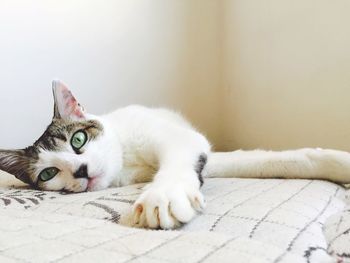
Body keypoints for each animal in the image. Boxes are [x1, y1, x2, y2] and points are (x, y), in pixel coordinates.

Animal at [2, 81, 350, 230]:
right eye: (48, 173)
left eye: (78, 139)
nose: (80, 171)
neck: (126, 162)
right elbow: (270, 162)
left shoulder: (181, 140)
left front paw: (164, 196)